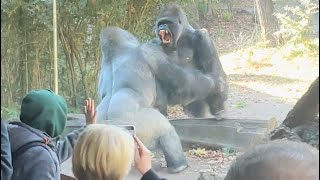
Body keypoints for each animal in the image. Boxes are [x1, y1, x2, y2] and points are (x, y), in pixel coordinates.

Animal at [95, 26, 218, 173]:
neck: (117, 51)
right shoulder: (148, 52)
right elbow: (175, 88)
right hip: (136, 127)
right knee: (166, 130)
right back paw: (179, 165)